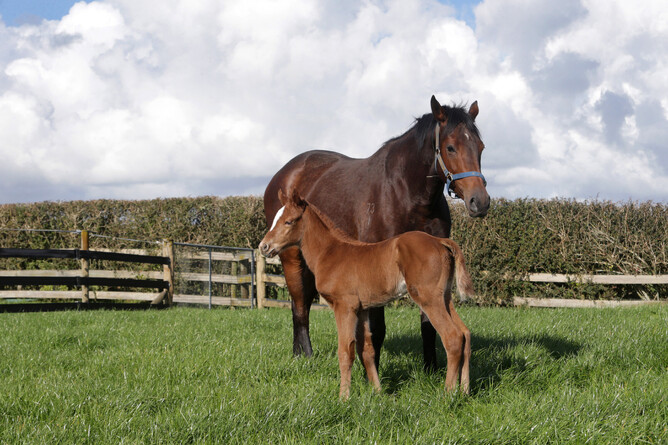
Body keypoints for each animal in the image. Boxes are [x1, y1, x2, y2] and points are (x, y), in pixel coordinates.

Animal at [259, 190, 474, 398]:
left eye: (288, 221)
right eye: (274, 219)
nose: (264, 247)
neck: (331, 253)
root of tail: (440, 241)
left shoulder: (344, 307)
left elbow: (345, 351)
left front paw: (343, 397)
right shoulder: (361, 309)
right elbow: (367, 351)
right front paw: (378, 393)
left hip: (429, 299)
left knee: (453, 337)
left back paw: (448, 393)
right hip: (444, 297)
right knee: (465, 333)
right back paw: (464, 390)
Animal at [263, 95, 488, 371]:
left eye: (480, 147)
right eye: (451, 147)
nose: (480, 201)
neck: (405, 193)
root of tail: (284, 174)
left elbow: (428, 325)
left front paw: (431, 369)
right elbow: (377, 328)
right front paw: (372, 369)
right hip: (291, 257)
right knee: (299, 306)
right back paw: (304, 355)